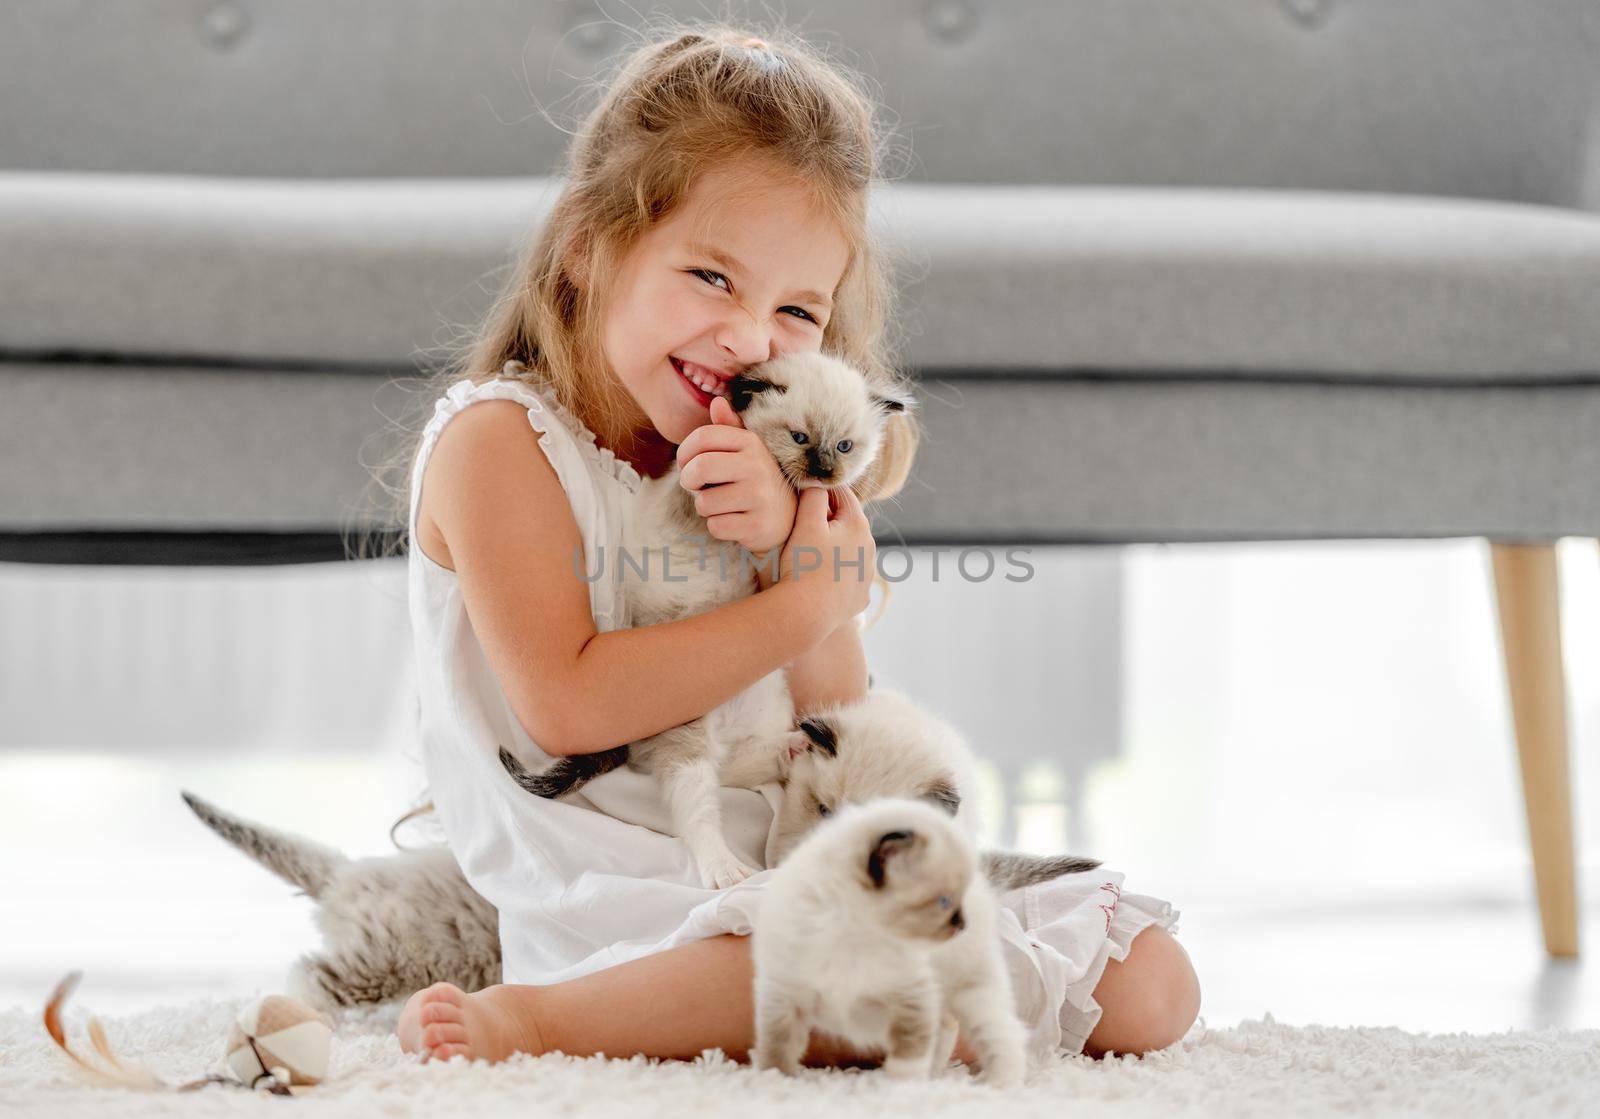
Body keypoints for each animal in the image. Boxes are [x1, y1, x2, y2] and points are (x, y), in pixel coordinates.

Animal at [496, 353, 915, 890]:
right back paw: (725, 869)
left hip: (767, 705)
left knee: (736, 767)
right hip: (685, 731)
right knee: (699, 803)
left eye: (844, 446)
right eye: (800, 438)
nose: (823, 471)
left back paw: (795, 747)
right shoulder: (691, 492)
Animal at [748, 797, 1024, 1088]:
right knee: (947, 1031)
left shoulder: (911, 999)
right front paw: (774, 1080)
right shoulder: (783, 995)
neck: (854, 935)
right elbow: (777, 1048)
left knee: (1004, 1034)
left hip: (972, 994)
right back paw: (936, 1076)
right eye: (944, 901)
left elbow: (909, 1056)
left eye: (955, 898)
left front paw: (901, 1088)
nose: (962, 925)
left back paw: (996, 1083)